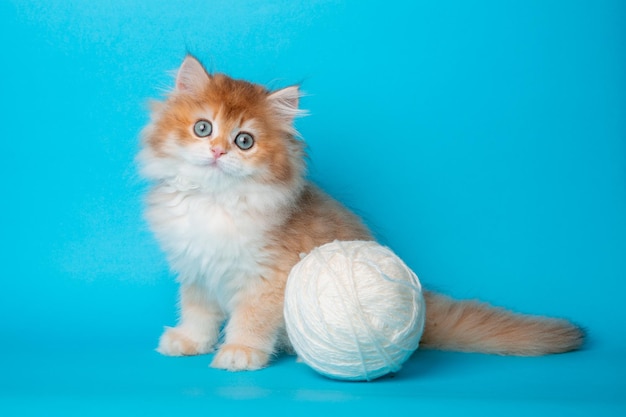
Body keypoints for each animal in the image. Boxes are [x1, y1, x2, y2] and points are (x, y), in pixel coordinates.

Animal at [139, 55, 584, 370]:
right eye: (203, 128)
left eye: (244, 141)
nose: (217, 152)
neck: (215, 201)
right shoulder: (197, 270)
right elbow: (198, 313)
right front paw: (190, 341)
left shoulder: (266, 279)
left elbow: (251, 320)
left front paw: (239, 352)